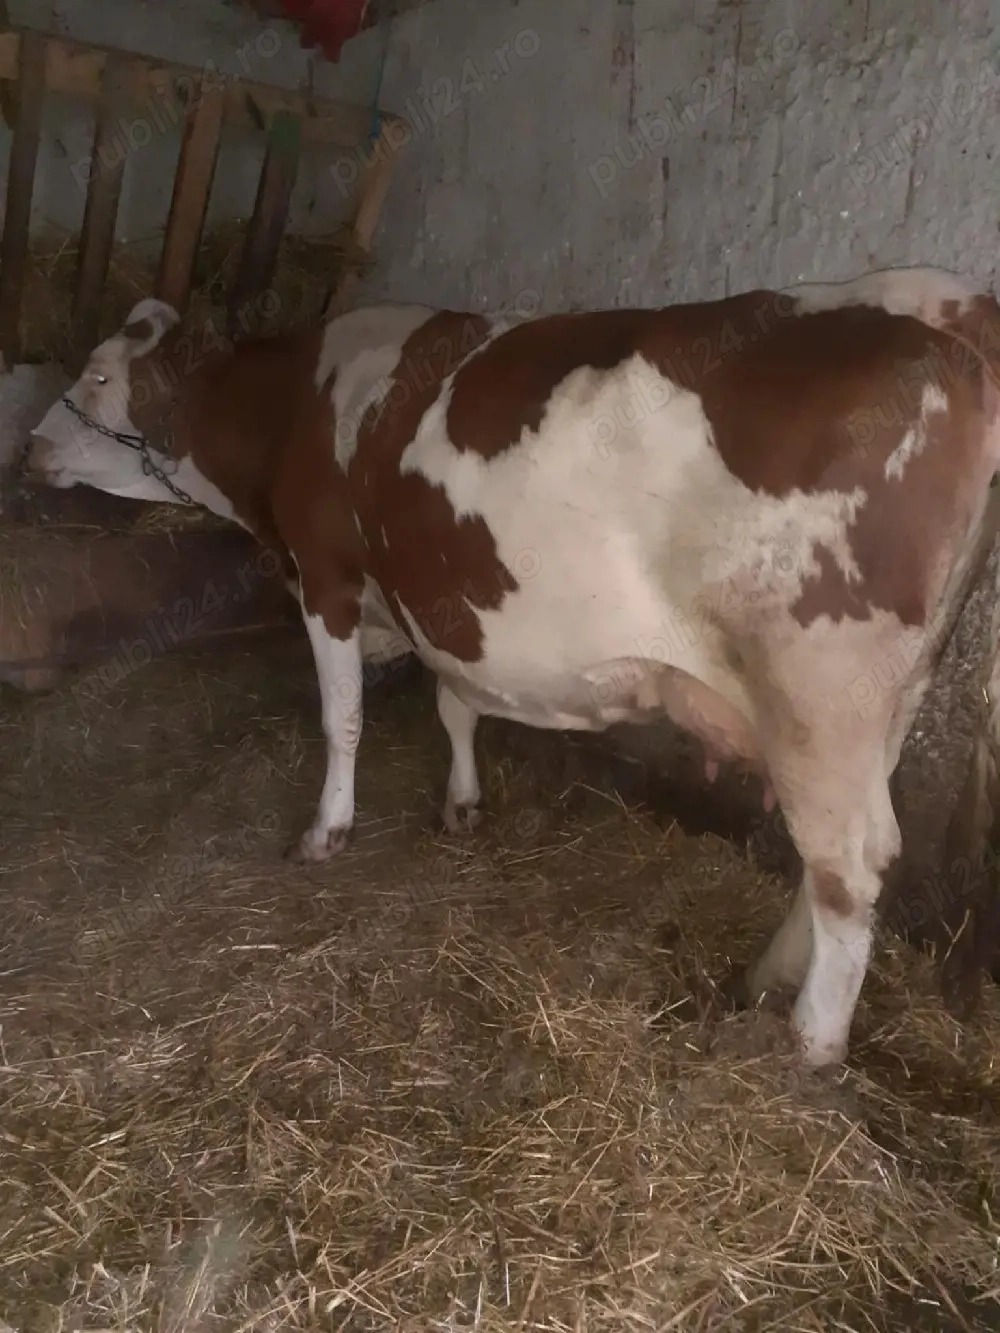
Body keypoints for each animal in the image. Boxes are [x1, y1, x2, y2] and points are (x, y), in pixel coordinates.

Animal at [25, 266, 1000, 1068]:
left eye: (98, 377)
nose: (28, 445)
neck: (299, 403)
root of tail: (949, 307)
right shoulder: (444, 602)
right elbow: (457, 703)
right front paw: (462, 802)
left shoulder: (328, 576)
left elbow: (343, 715)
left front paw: (327, 829)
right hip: (890, 698)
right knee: (846, 854)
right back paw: (768, 974)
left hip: (818, 692)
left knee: (850, 864)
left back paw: (808, 1046)